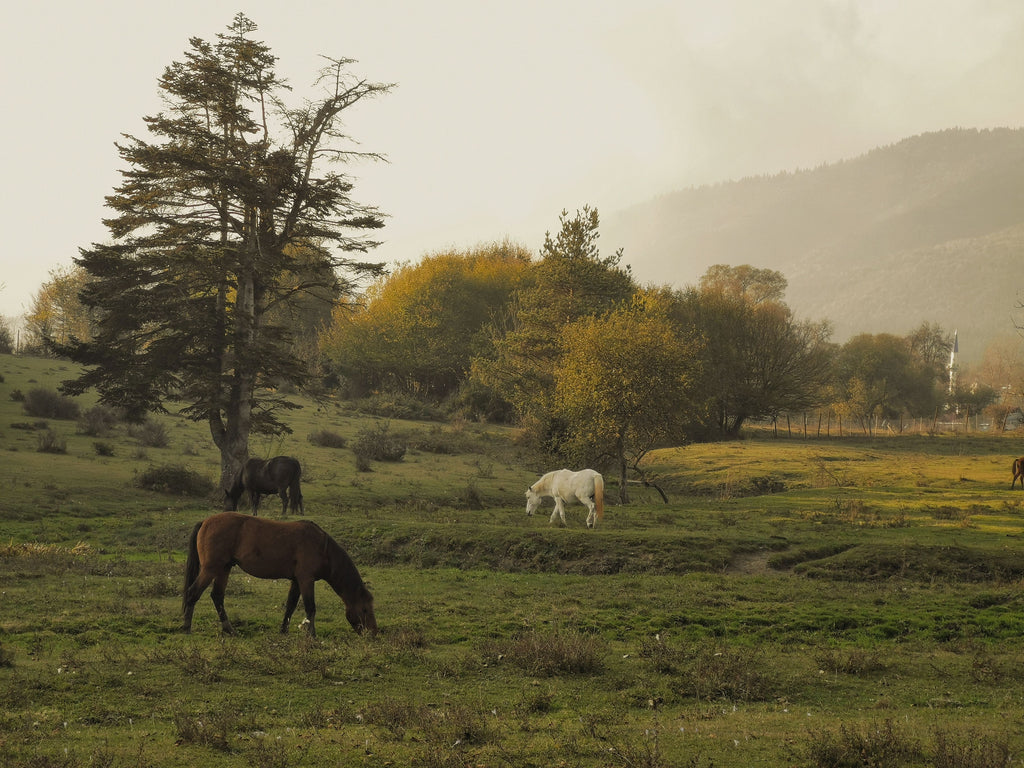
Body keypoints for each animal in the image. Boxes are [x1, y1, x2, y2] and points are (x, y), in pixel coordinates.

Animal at [181, 512, 376, 638]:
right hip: (211, 569)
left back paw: (229, 630)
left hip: (224, 568)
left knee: (217, 597)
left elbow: (290, 605)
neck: (322, 548)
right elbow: (310, 607)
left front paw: (283, 630)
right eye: (365, 609)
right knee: (193, 593)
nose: (373, 632)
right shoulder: (306, 579)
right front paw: (311, 635)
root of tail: (205, 522)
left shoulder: (297, 581)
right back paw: (186, 627)